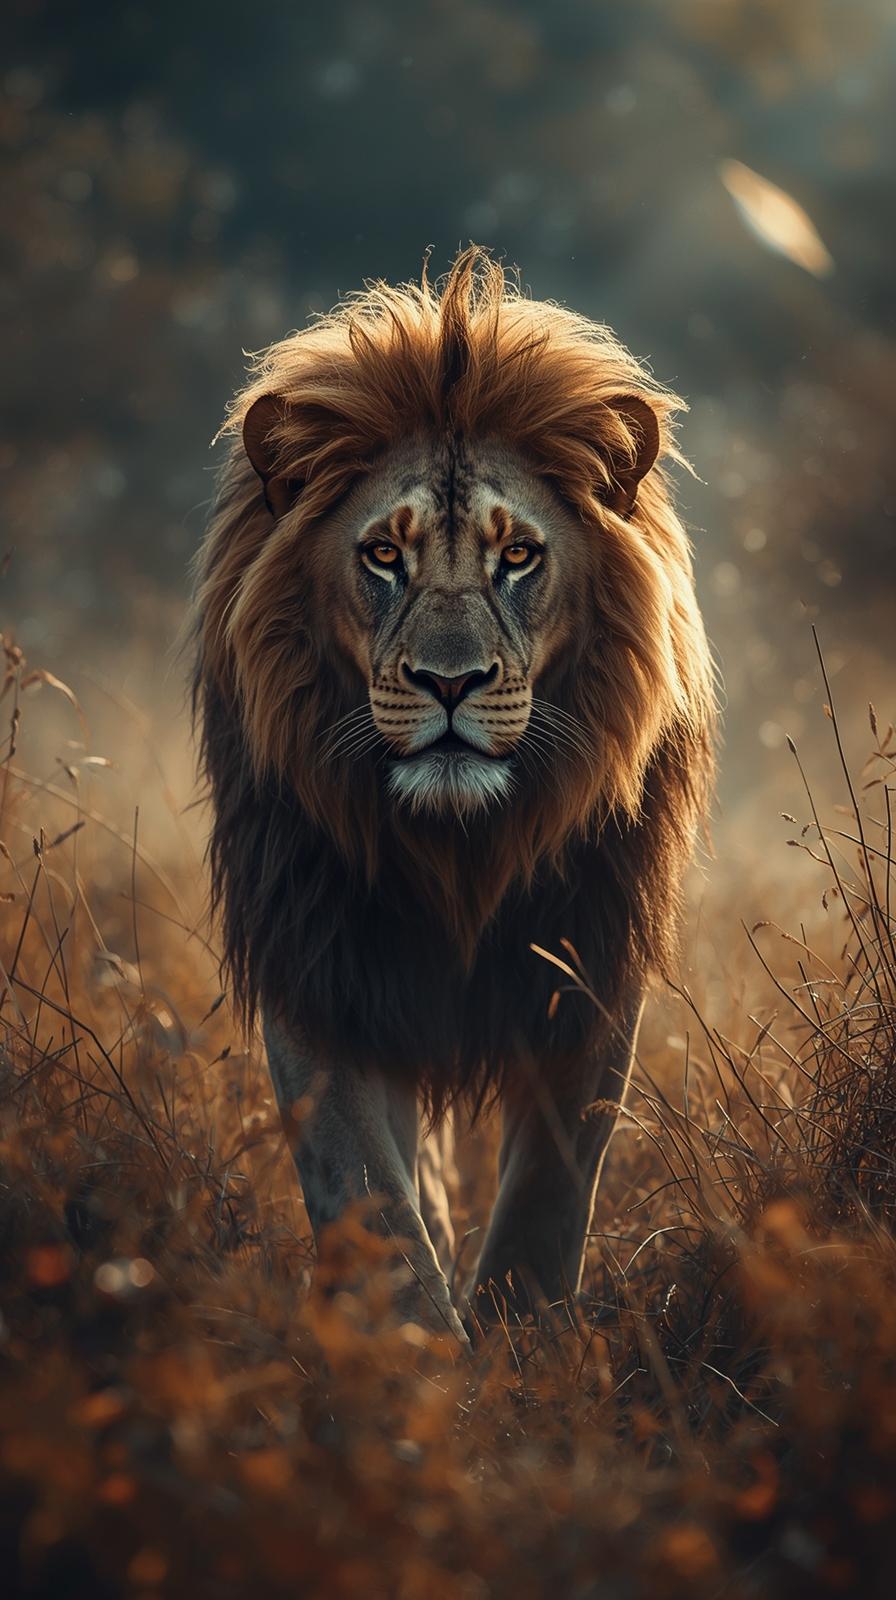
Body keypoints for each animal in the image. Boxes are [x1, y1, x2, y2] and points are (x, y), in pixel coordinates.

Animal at [192, 247, 715, 1344]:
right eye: (383, 555)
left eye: (516, 555)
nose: (448, 682)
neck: (457, 851)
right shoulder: (321, 970)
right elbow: (370, 1199)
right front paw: (414, 1358)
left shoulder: (587, 973)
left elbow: (547, 1201)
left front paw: (524, 1350)